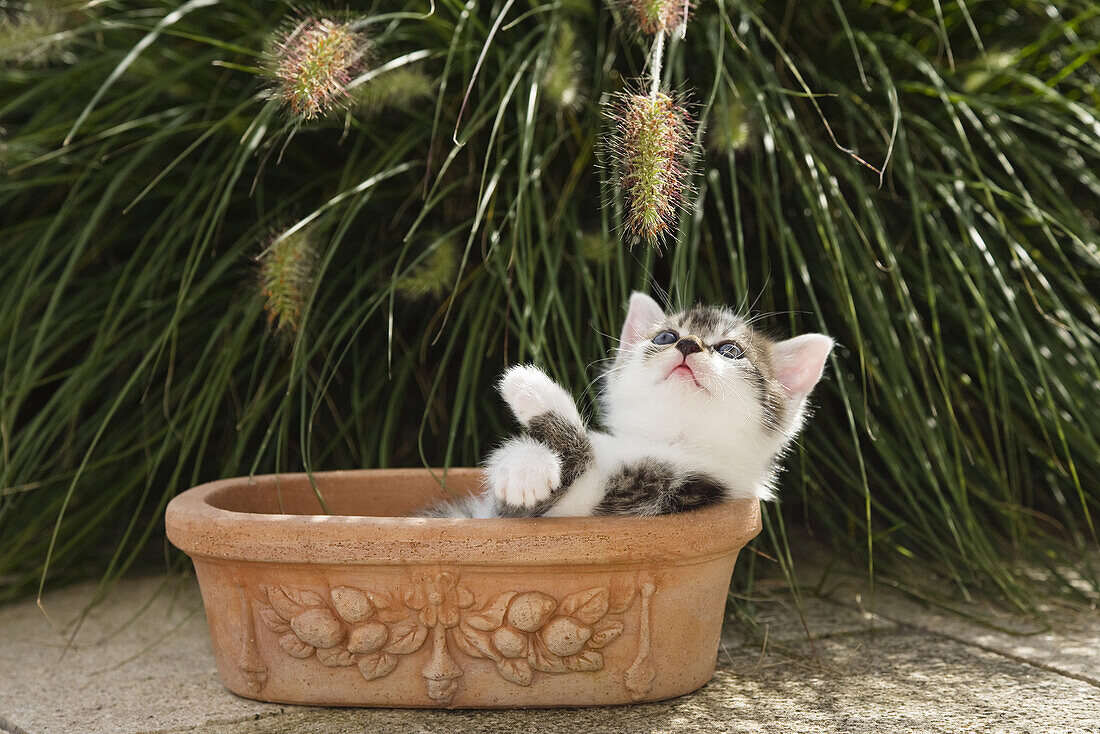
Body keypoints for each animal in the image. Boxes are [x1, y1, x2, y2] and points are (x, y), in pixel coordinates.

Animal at [424, 290, 827, 519]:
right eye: (665, 337)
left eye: (731, 350)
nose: (688, 344)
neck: (667, 439)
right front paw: (522, 464)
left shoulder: (651, 494)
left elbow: (580, 458)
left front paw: (531, 386)